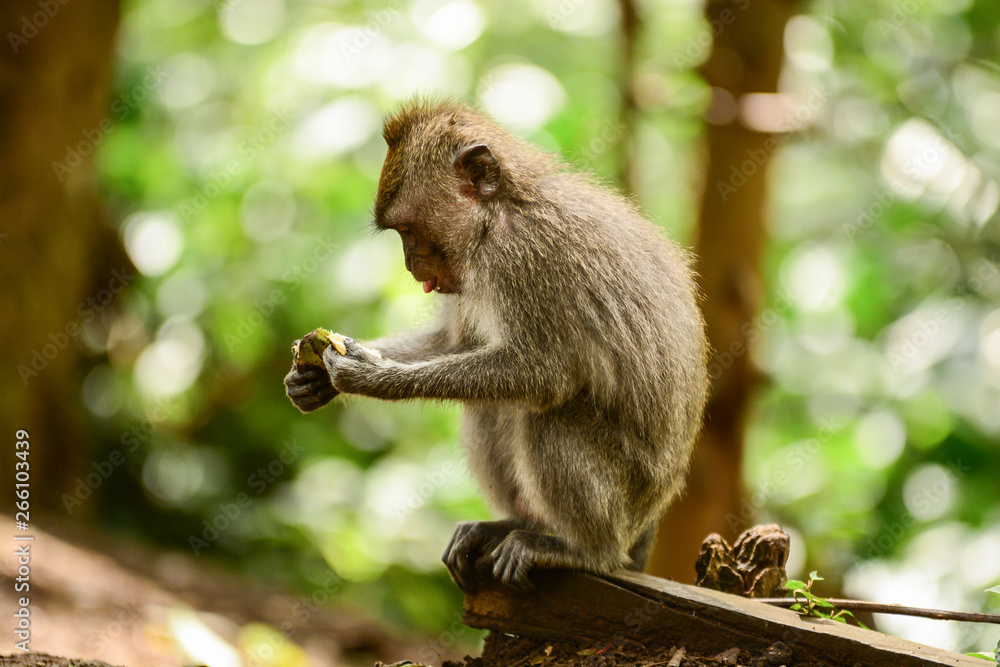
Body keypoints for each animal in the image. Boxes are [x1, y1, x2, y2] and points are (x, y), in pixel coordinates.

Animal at [284, 98, 709, 591]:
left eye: (408, 229)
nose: (410, 265)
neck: (501, 212)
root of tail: (653, 512)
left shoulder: (527, 256)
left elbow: (543, 374)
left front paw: (371, 377)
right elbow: (455, 342)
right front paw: (315, 378)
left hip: (629, 495)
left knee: (548, 418)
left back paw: (583, 551)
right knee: (489, 407)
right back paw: (515, 524)